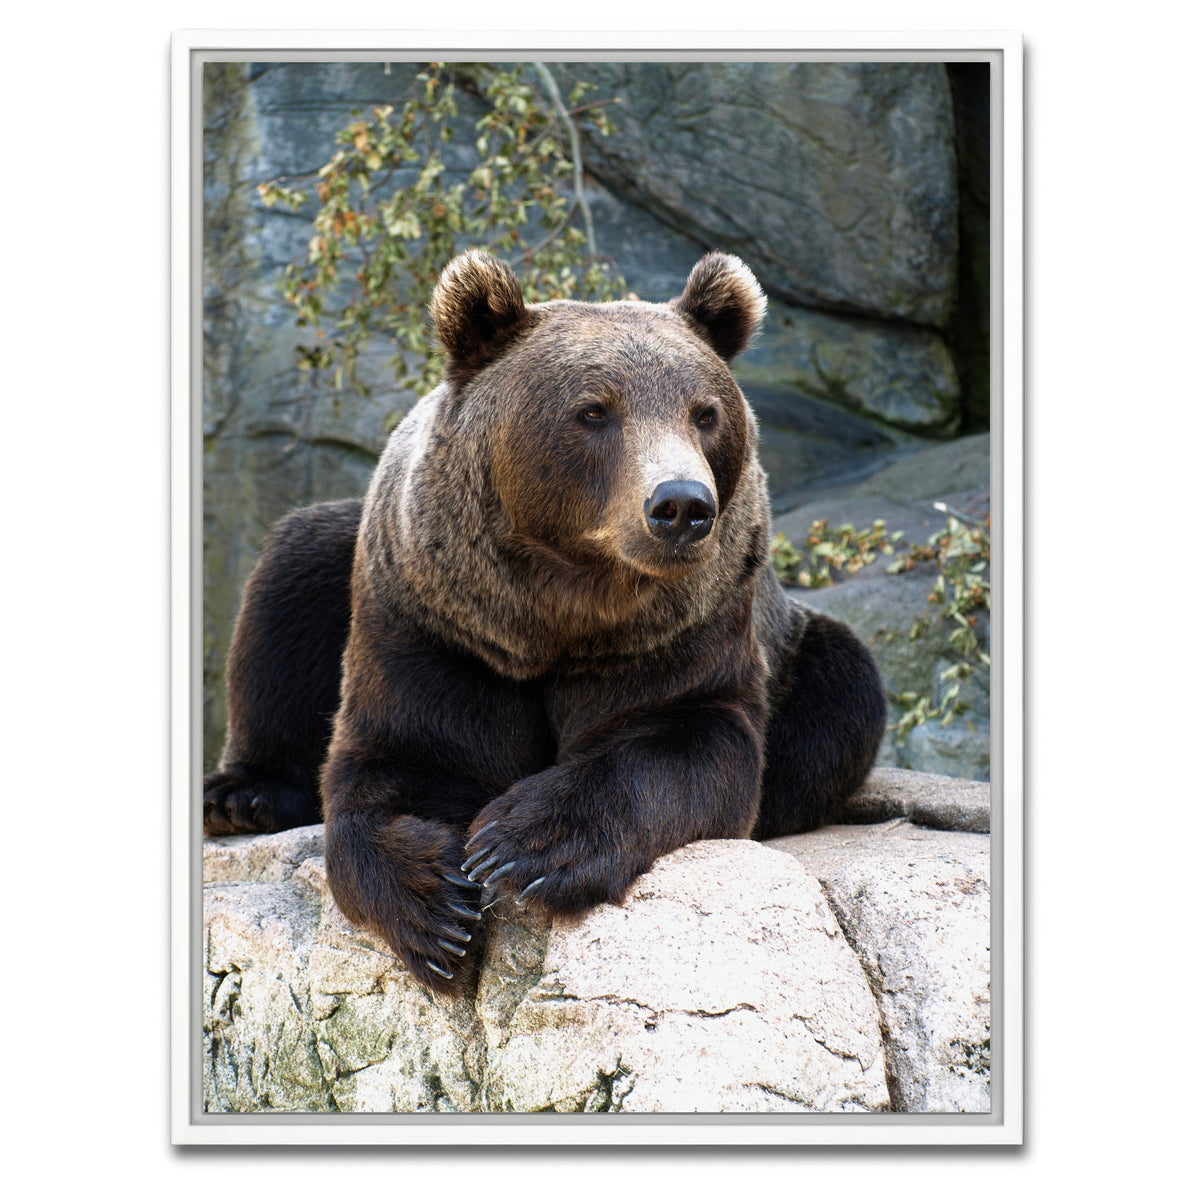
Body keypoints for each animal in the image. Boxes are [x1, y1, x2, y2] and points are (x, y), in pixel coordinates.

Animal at [203, 249, 887, 995]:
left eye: (705, 413)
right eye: (594, 410)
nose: (681, 504)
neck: (556, 613)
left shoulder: (679, 632)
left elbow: (688, 742)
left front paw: (524, 845)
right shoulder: (435, 624)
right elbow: (398, 759)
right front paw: (435, 907)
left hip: (796, 649)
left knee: (842, 693)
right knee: (292, 573)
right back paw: (242, 795)